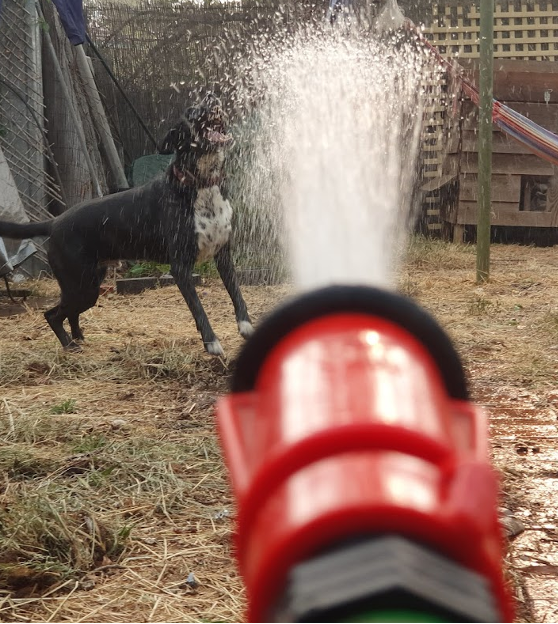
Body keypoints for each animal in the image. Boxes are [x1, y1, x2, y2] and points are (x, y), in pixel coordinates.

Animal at [0, 92, 255, 356]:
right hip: (80, 285)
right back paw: (70, 346)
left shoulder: (223, 255)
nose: (212, 97)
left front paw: (246, 326)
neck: (201, 183)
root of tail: (54, 222)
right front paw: (212, 343)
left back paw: (79, 339)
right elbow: (198, 309)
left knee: (69, 314)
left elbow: (236, 292)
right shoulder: (181, 268)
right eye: (191, 111)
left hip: (90, 285)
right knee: (52, 314)